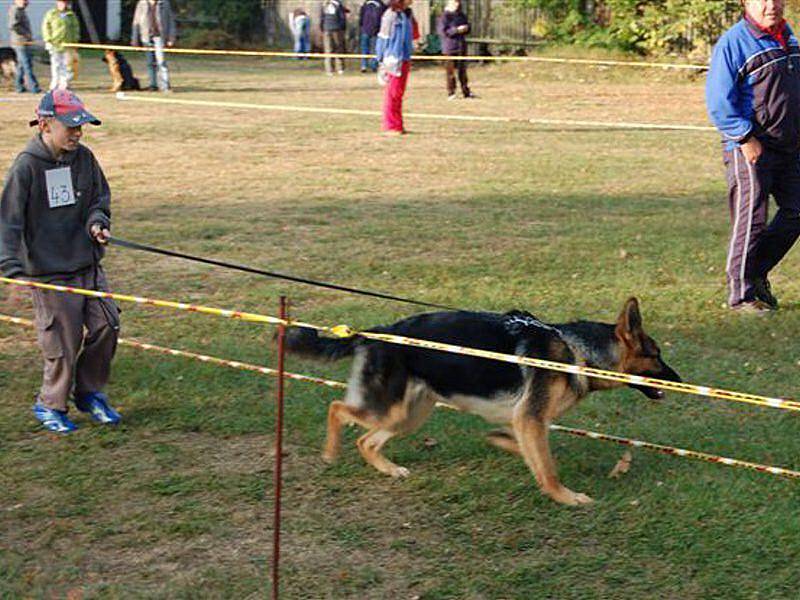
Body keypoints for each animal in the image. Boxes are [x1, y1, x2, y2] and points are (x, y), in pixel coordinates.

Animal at [288, 298, 680, 504]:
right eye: (657, 355)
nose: (679, 381)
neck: (575, 352)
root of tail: (378, 332)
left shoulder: (523, 420)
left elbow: (526, 449)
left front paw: (503, 445)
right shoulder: (531, 419)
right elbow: (548, 466)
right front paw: (564, 496)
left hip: (410, 414)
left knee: (366, 440)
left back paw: (390, 469)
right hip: (390, 407)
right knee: (338, 410)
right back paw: (330, 453)